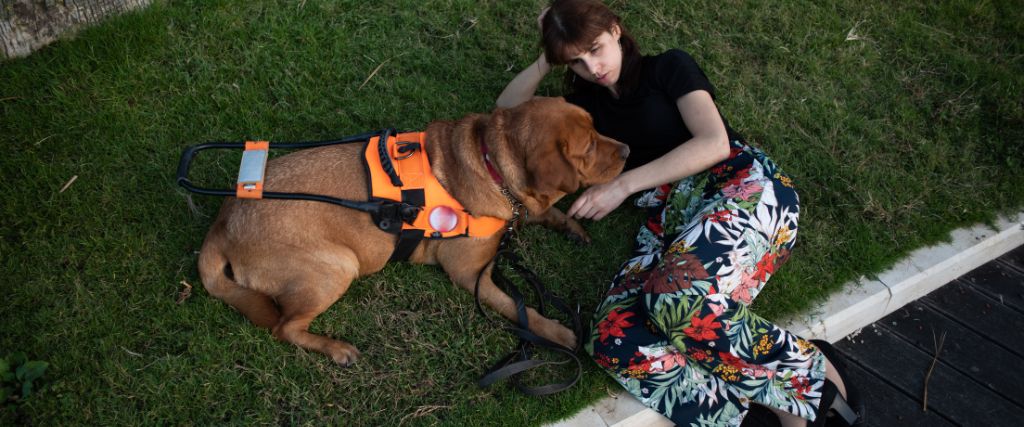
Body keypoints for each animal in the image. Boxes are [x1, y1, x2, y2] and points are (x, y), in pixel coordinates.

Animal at [195, 96, 626, 362]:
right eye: (588, 147)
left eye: (596, 128)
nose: (626, 150)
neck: (491, 163)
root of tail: (222, 224)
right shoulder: (472, 276)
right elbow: (521, 312)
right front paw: (558, 333)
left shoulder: (516, 209)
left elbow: (542, 211)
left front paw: (571, 225)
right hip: (337, 267)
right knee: (284, 328)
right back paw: (336, 349)